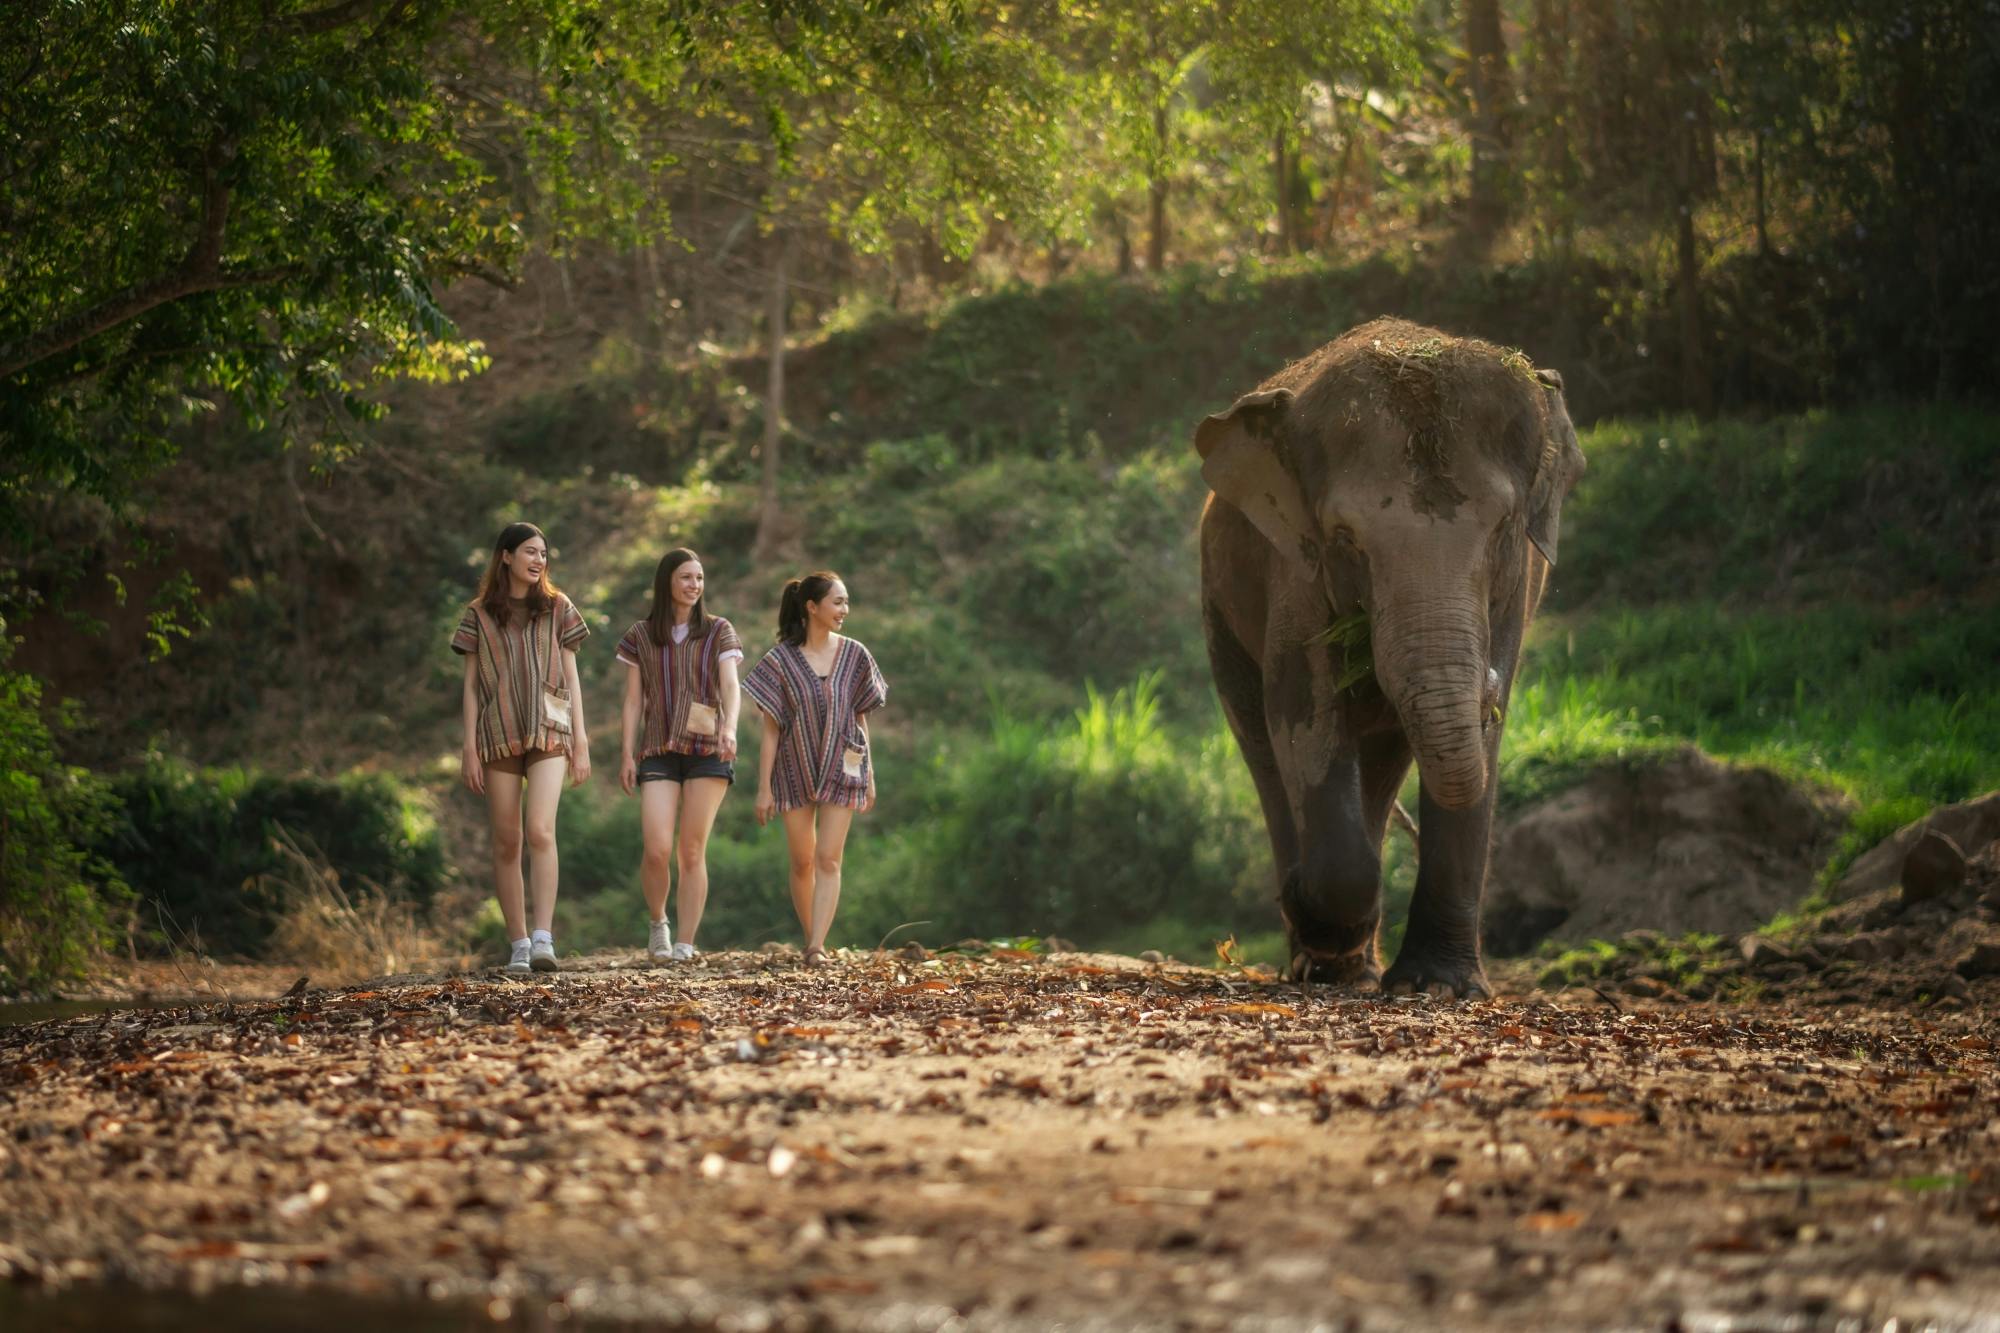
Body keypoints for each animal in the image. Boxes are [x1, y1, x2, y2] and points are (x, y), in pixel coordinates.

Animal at [1196, 318, 1586, 998]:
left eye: (1505, 527)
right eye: (1344, 538)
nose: (1486, 685)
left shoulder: (1520, 586)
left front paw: (1440, 988)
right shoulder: (1296, 572)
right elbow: (1303, 714)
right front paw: (1312, 915)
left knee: (1382, 760)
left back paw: (1356, 966)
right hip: (1219, 606)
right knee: (1262, 746)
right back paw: (1320, 955)